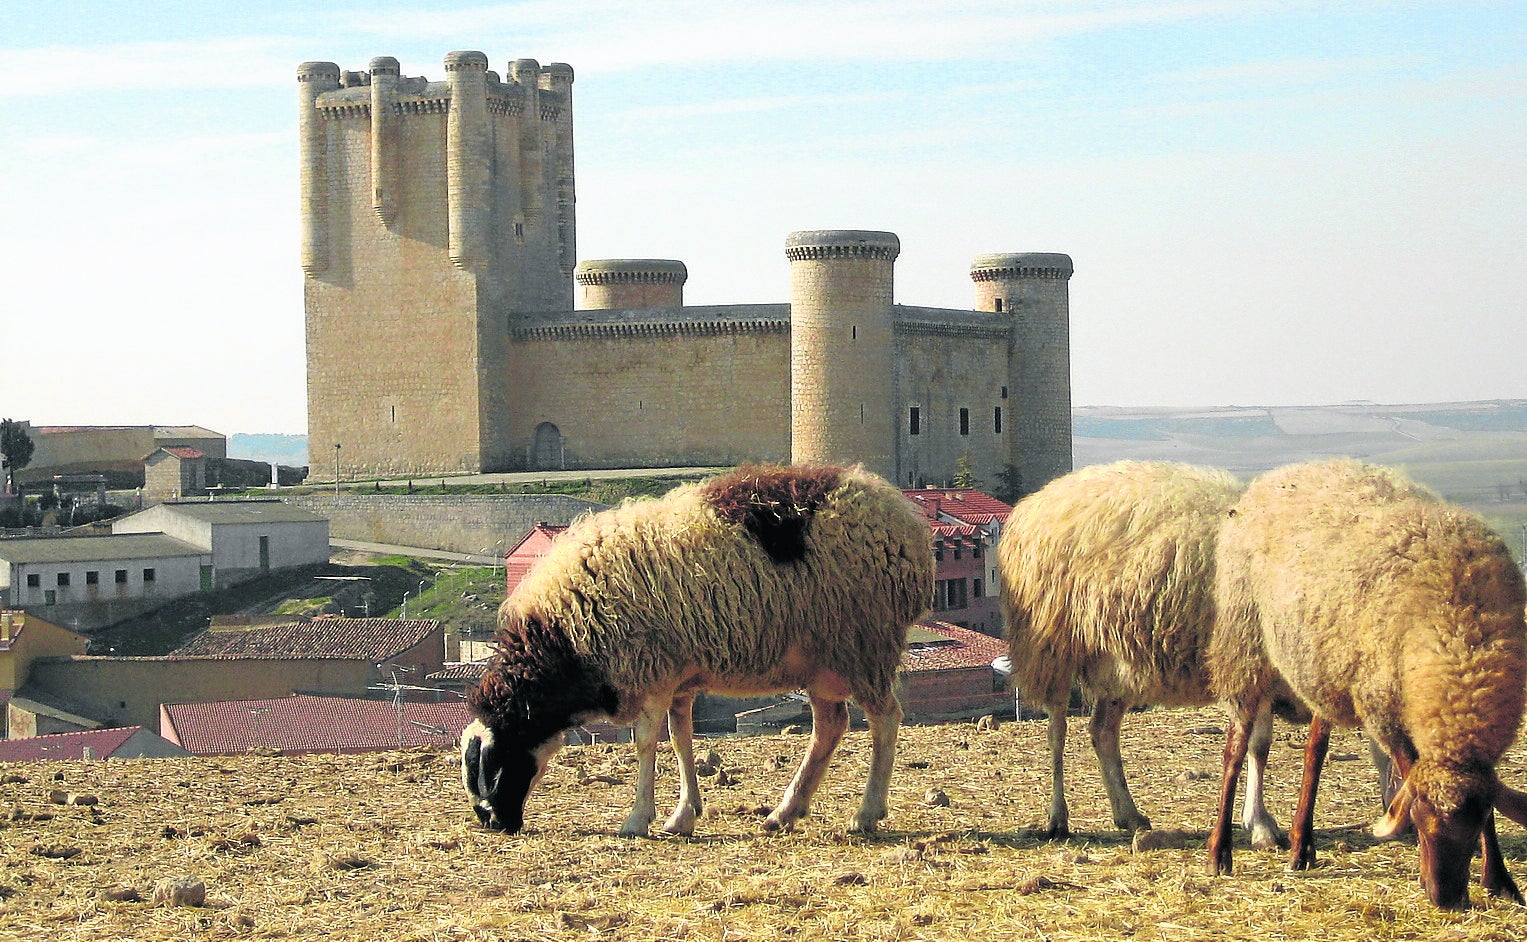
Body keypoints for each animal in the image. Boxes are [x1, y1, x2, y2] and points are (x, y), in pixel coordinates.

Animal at [455, 464, 928, 836]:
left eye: (490, 760)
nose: (493, 822)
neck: (564, 639)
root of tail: (900, 514)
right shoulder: (678, 677)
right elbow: (682, 740)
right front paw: (683, 815)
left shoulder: (649, 672)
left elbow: (646, 743)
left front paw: (637, 819)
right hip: (822, 659)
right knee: (830, 726)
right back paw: (784, 812)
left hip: (864, 644)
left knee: (885, 719)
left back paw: (867, 813)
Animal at [995, 464, 1294, 842]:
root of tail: (1035, 501)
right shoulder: (1241, 665)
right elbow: (1253, 742)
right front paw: (1259, 823)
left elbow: (1261, 744)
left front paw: (1259, 821)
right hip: (1052, 647)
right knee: (1057, 730)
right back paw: (1058, 817)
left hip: (1115, 663)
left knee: (1102, 732)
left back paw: (1128, 814)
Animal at [1203, 458, 1527, 909]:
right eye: (1419, 821)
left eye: (1472, 826)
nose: (1445, 898)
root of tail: (1284, 472)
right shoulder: (1383, 707)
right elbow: (1406, 772)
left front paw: (1499, 880)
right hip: (1244, 640)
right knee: (1235, 749)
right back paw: (1219, 853)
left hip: (1323, 662)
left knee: (1314, 751)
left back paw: (1301, 847)